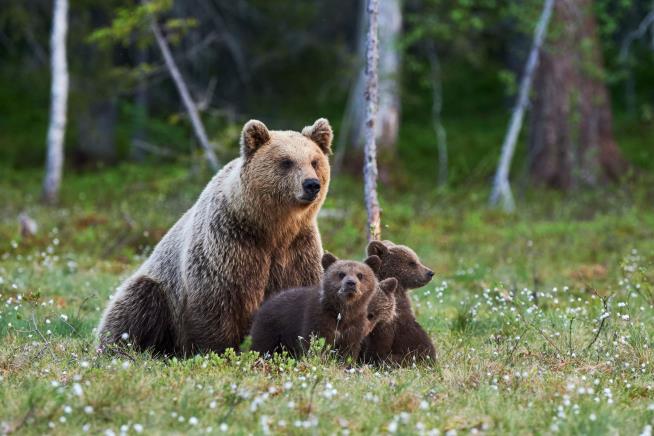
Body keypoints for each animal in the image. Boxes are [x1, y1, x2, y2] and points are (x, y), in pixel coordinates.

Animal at [98, 118, 334, 354]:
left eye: (314, 161)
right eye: (286, 161)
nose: (311, 184)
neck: (272, 229)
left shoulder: (298, 250)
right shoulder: (228, 245)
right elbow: (217, 305)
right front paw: (219, 350)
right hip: (159, 290)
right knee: (135, 305)